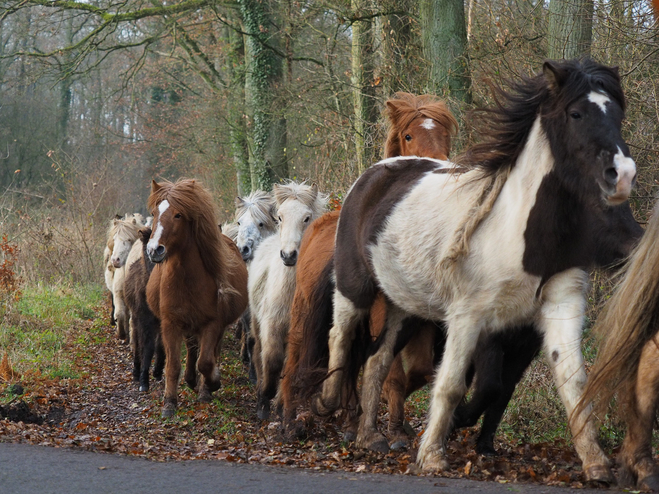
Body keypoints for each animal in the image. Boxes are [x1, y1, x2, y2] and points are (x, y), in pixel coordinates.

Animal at [148, 178, 250, 416]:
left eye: (178, 215)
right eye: (154, 213)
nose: (154, 250)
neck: (187, 281)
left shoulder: (211, 324)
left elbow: (206, 361)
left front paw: (212, 384)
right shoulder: (171, 324)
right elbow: (173, 365)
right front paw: (169, 403)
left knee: (210, 354)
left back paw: (203, 387)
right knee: (192, 349)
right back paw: (191, 380)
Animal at [248, 182, 330, 420]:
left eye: (306, 218)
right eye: (280, 217)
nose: (289, 255)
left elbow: (291, 368)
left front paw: (281, 404)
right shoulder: (272, 326)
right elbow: (272, 360)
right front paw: (264, 401)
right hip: (256, 323)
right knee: (258, 355)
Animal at [282, 91, 456, 444]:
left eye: (445, 133)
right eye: (408, 135)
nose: (440, 164)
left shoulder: (420, 328)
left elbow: (415, 372)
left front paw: (393, 425)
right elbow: (390, 372)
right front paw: (386, 429)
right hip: (305, 313)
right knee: (299, 358)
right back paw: (294, 420)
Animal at [314, 58, 640, 482]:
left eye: (617, 113)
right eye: (576, 113)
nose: (623, 176)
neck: (522, 235)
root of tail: (377, 171)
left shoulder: (560, 309)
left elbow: (572, 383)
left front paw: (596, 463)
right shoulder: (469, 317)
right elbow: (452, 384)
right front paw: (433, 456)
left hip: (404, 306)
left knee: (377, 360)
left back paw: (371, 437)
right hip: (356, 287)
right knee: (340, 335)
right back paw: (327, 403)